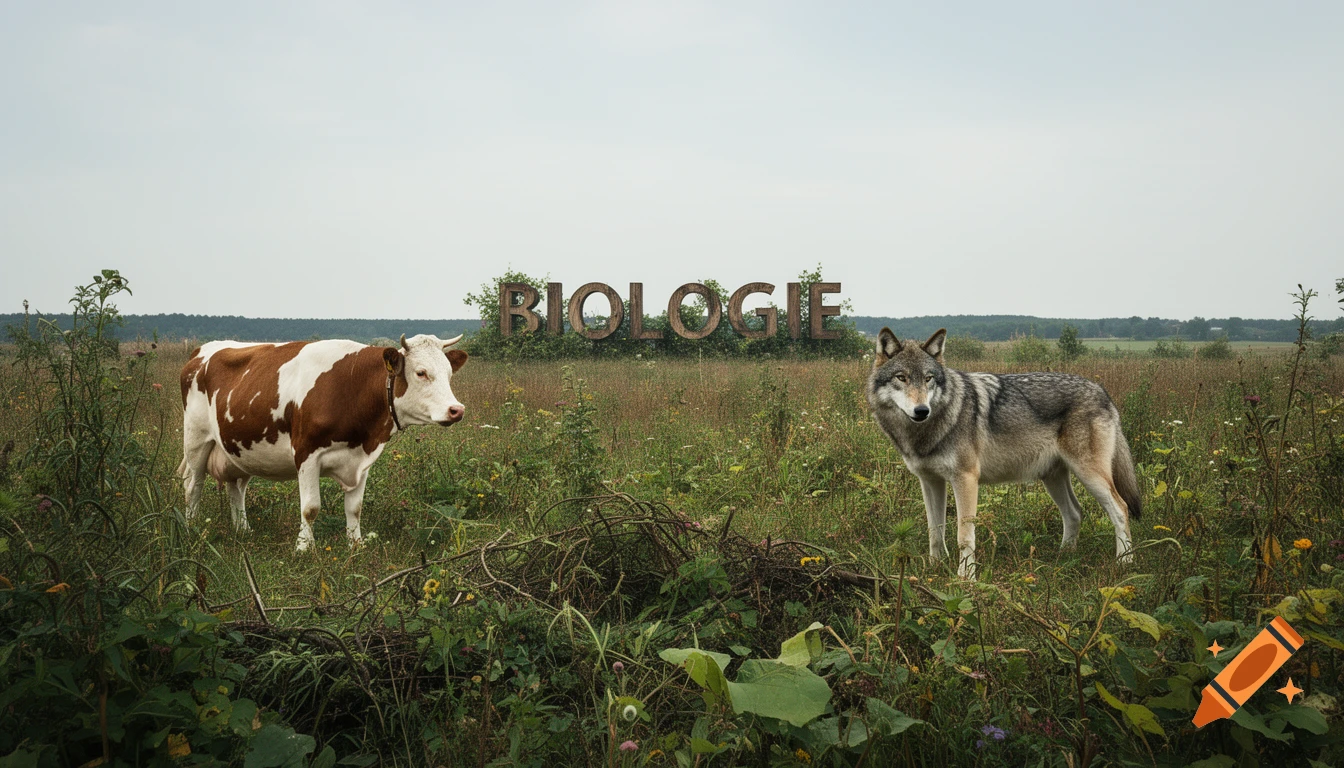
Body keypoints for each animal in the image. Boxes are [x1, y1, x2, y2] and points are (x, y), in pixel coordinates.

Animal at [178, 333, 467, 551]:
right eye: (421, 373)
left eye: (449, 373)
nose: (456, 410)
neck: (352, 385)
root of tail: (201, 350)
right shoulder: (307, 453)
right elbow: (310, 508)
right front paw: (304, 548)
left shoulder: (362, 458)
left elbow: (354, 508)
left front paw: (356, 545)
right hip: (196, 439)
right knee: (193, 486)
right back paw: (191, 529)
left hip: (236, 447)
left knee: (236, 487)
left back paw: (243, 530)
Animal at [866, 328, 1142, 578]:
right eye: (901, 377)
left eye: (928, 378)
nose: (922, 410)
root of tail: (1102, 391)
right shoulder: (930, 481)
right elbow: (934, 530)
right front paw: (934, 569)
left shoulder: (966, 479)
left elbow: (964, 536)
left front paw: (965, 579)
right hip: (1053, 479)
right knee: (1074, 513)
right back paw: (1063, 557)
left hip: (1089, 475)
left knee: (1121, 509)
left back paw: (1125, 563)